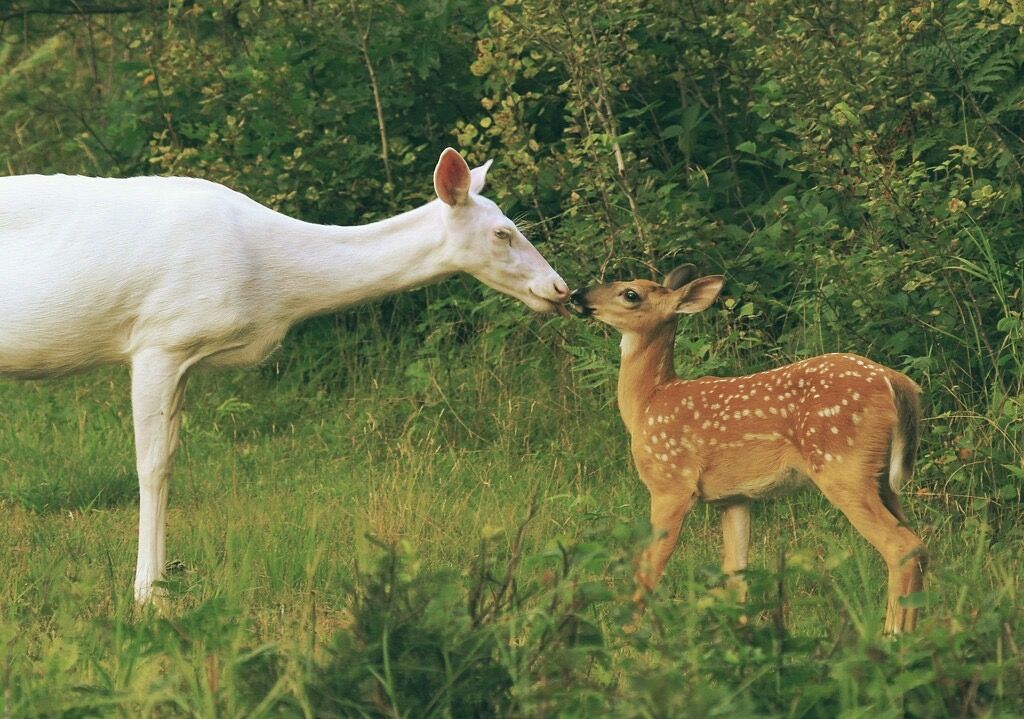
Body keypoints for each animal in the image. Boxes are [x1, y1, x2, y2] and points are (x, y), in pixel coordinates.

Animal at [0, 147, 570, 604]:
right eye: (503, 232)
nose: (560, 288)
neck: (273, 288)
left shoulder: (181, 356)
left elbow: (170, 461)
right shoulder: (159, 339)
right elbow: (153, 467)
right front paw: (148, 595)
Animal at [570, 263, 927, 633]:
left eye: (630, 294)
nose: (577, 295)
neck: (649, 403)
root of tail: (897, 383)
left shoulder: (671, 483)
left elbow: (649, 566)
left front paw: (626, 634)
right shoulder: (734, 498)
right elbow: (736, 572)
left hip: (842, 467)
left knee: (902, 547)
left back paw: (893, 634)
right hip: (882, 479)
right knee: (920, 547)